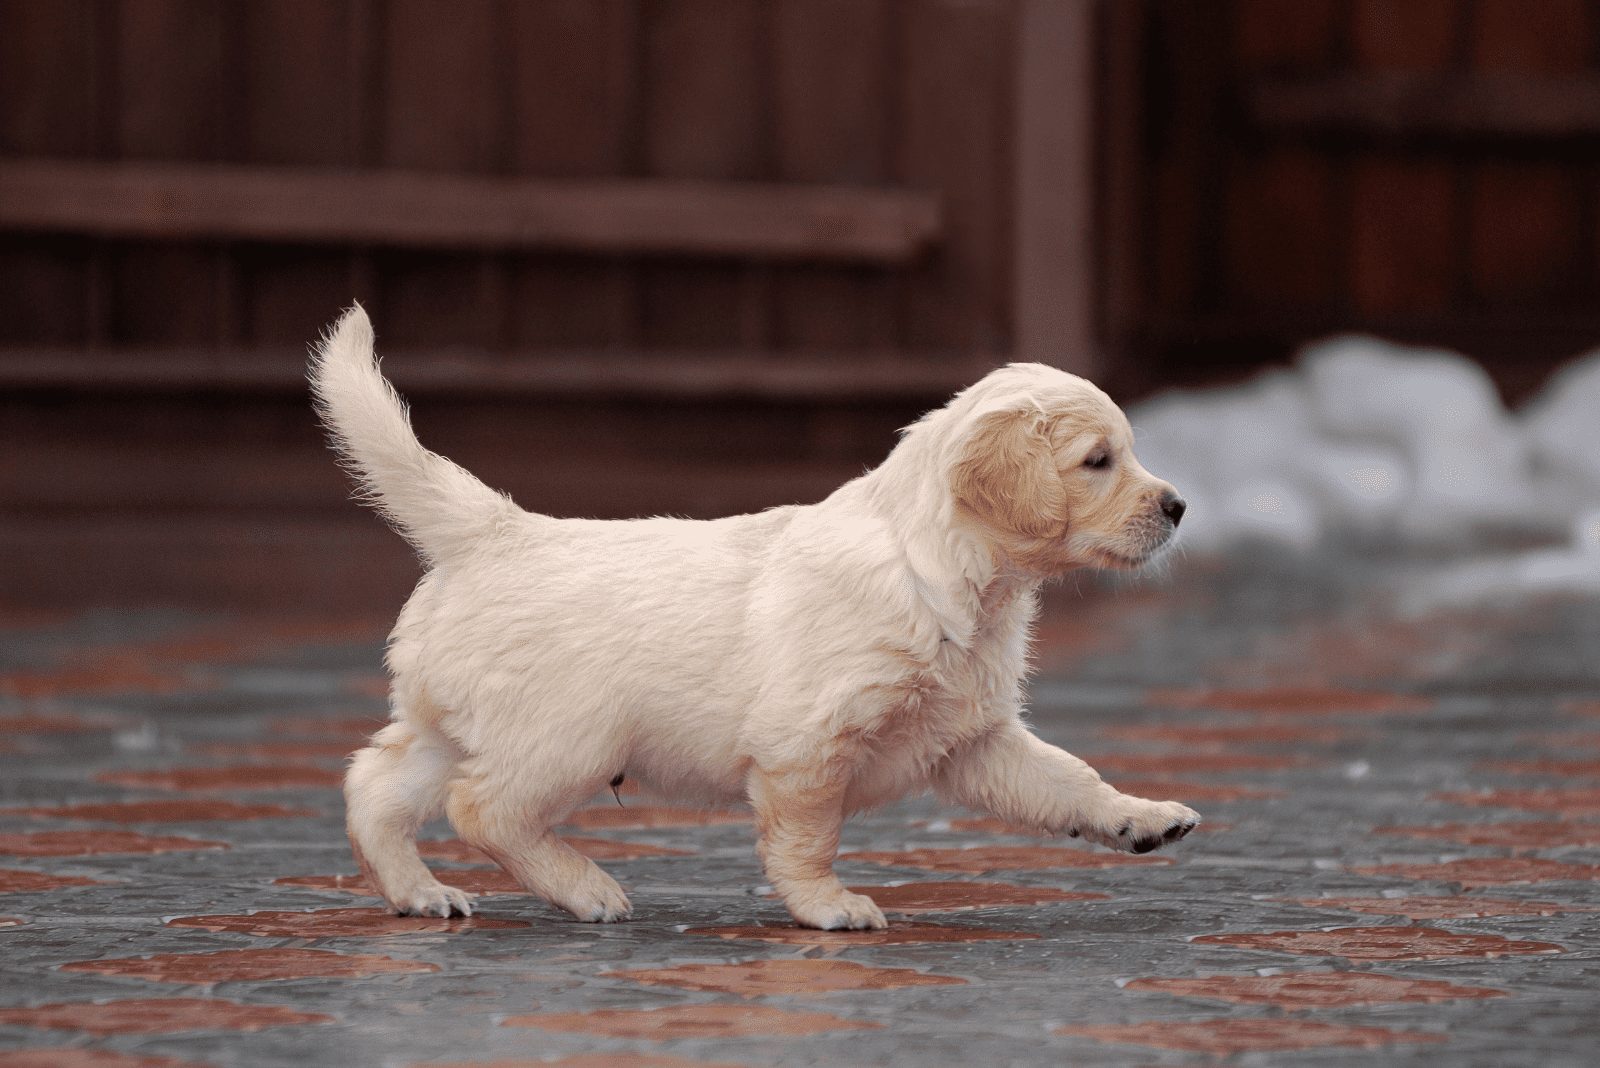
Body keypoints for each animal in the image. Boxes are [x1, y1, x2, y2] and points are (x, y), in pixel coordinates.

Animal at [312, 302, 1196, 927]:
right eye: (1097, 461)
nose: (1180, 506)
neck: (940, 573)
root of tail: (495, 530)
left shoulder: (973, 739)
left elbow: (1069, 779)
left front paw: (1139, 819)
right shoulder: (807, 744)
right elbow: (809, 837)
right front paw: (829, 907)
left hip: (451, 723)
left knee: (375, 785)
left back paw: (419, 893)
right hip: (569, 737)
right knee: (482, 808)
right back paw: (586, 889)